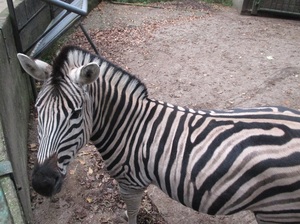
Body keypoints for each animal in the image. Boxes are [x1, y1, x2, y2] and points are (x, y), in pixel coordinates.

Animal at [17, 46, 300, 224]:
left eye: (75, 113)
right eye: (38, 110)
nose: (41, 183)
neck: (128, 126)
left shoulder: (130, 184)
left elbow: (132, 213)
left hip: (278, 211)